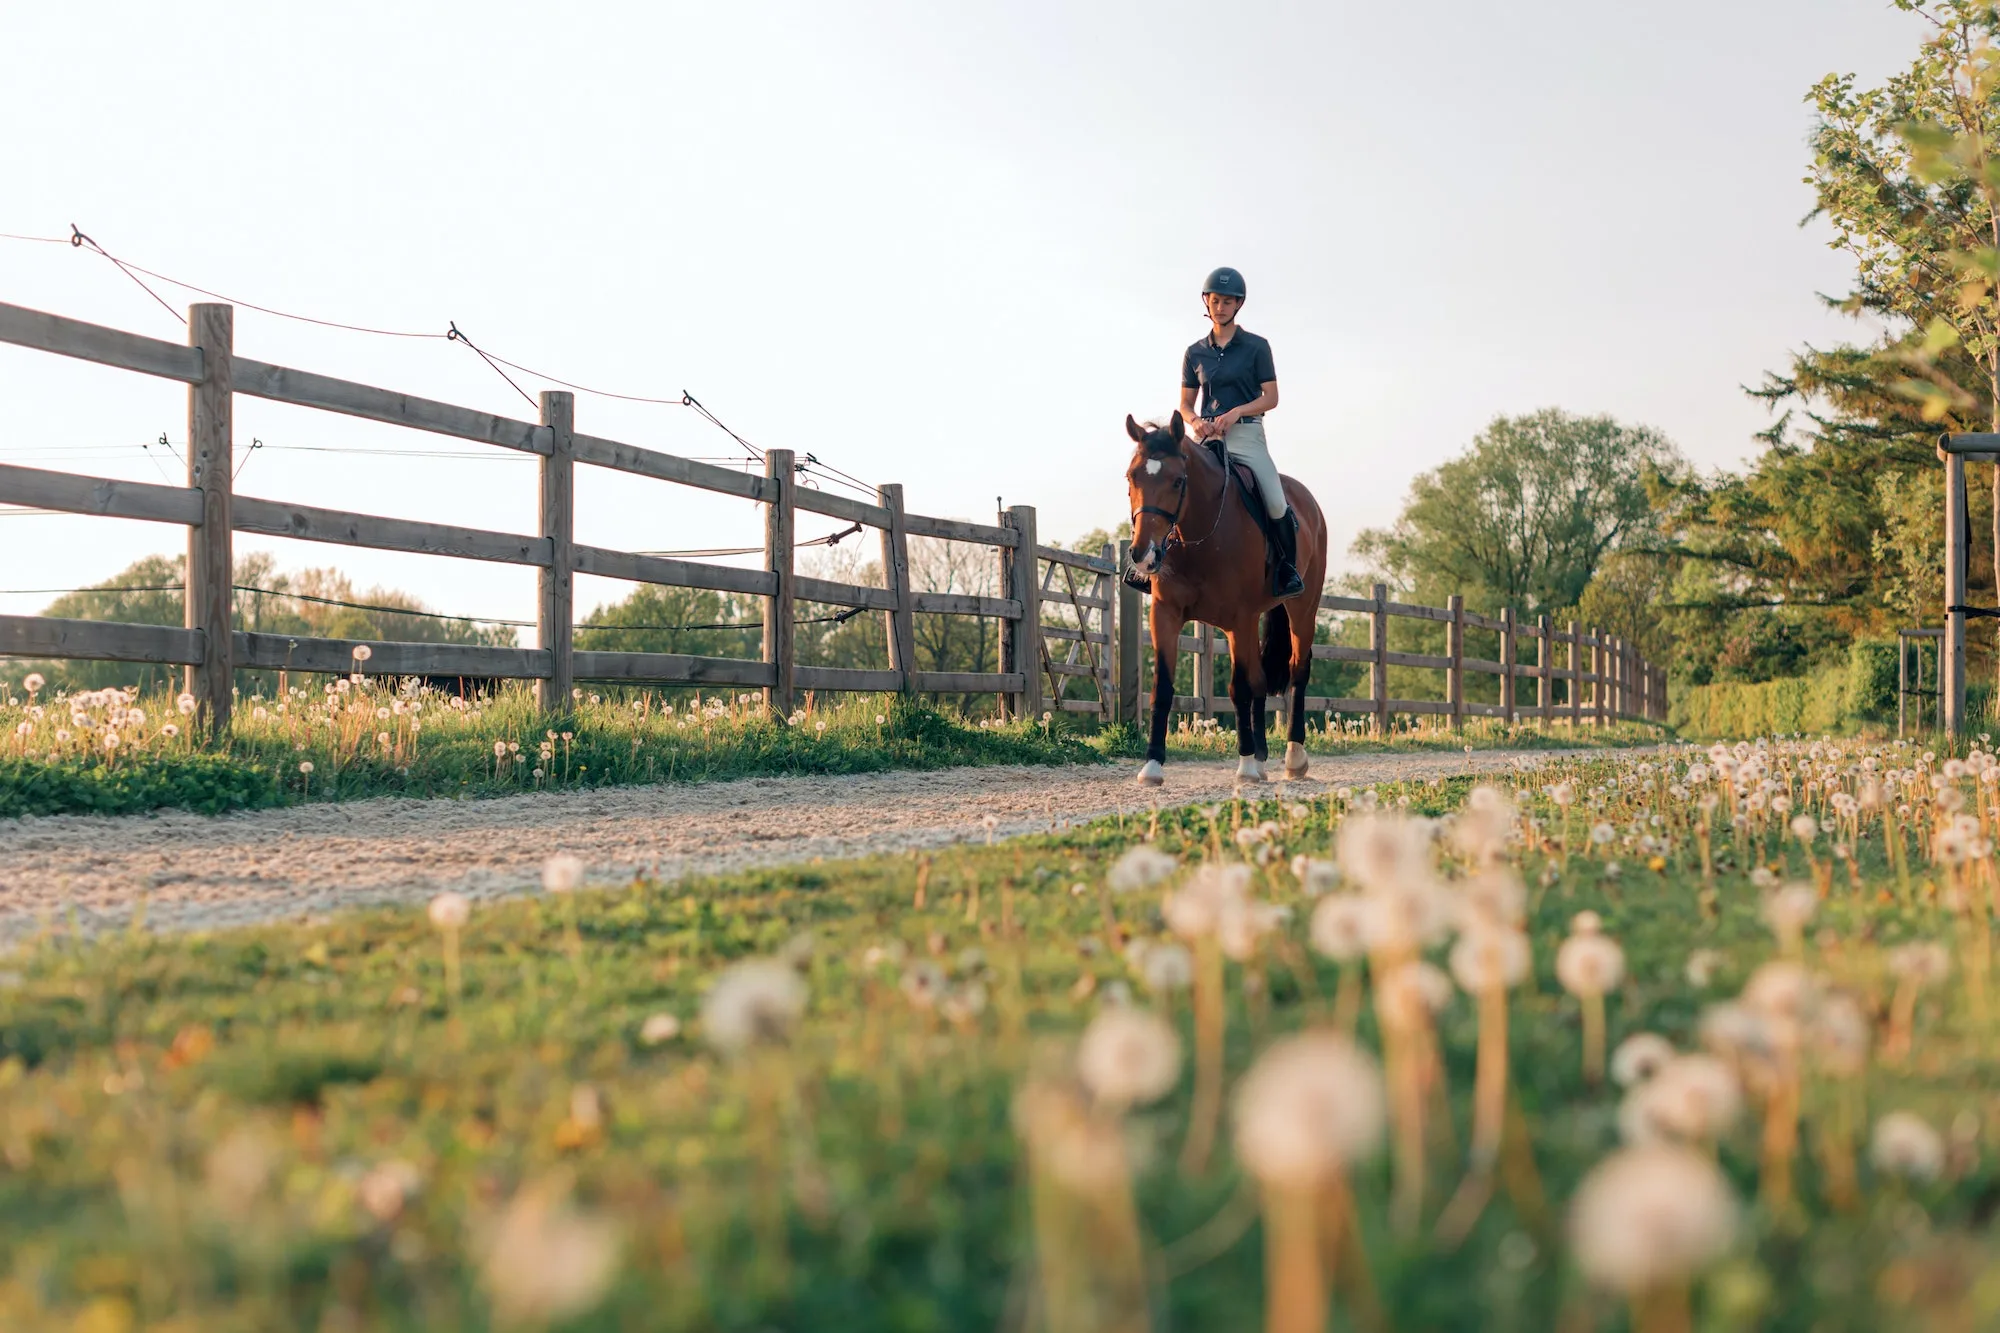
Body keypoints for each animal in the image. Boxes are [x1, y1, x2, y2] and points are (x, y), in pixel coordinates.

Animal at [1124, 411, 1328, 786]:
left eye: (1178, 481)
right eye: (1131, 477)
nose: (1143, 554)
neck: (1201, 534)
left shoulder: (1239, 620)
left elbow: (1239, 689)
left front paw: (1245, 765)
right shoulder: (1165, 614)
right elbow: (1163, 687)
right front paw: (1153, 765)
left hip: (1302, 610)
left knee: (1298, 672)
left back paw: (1294, 758)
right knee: (1262, 680)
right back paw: (1262, 759)